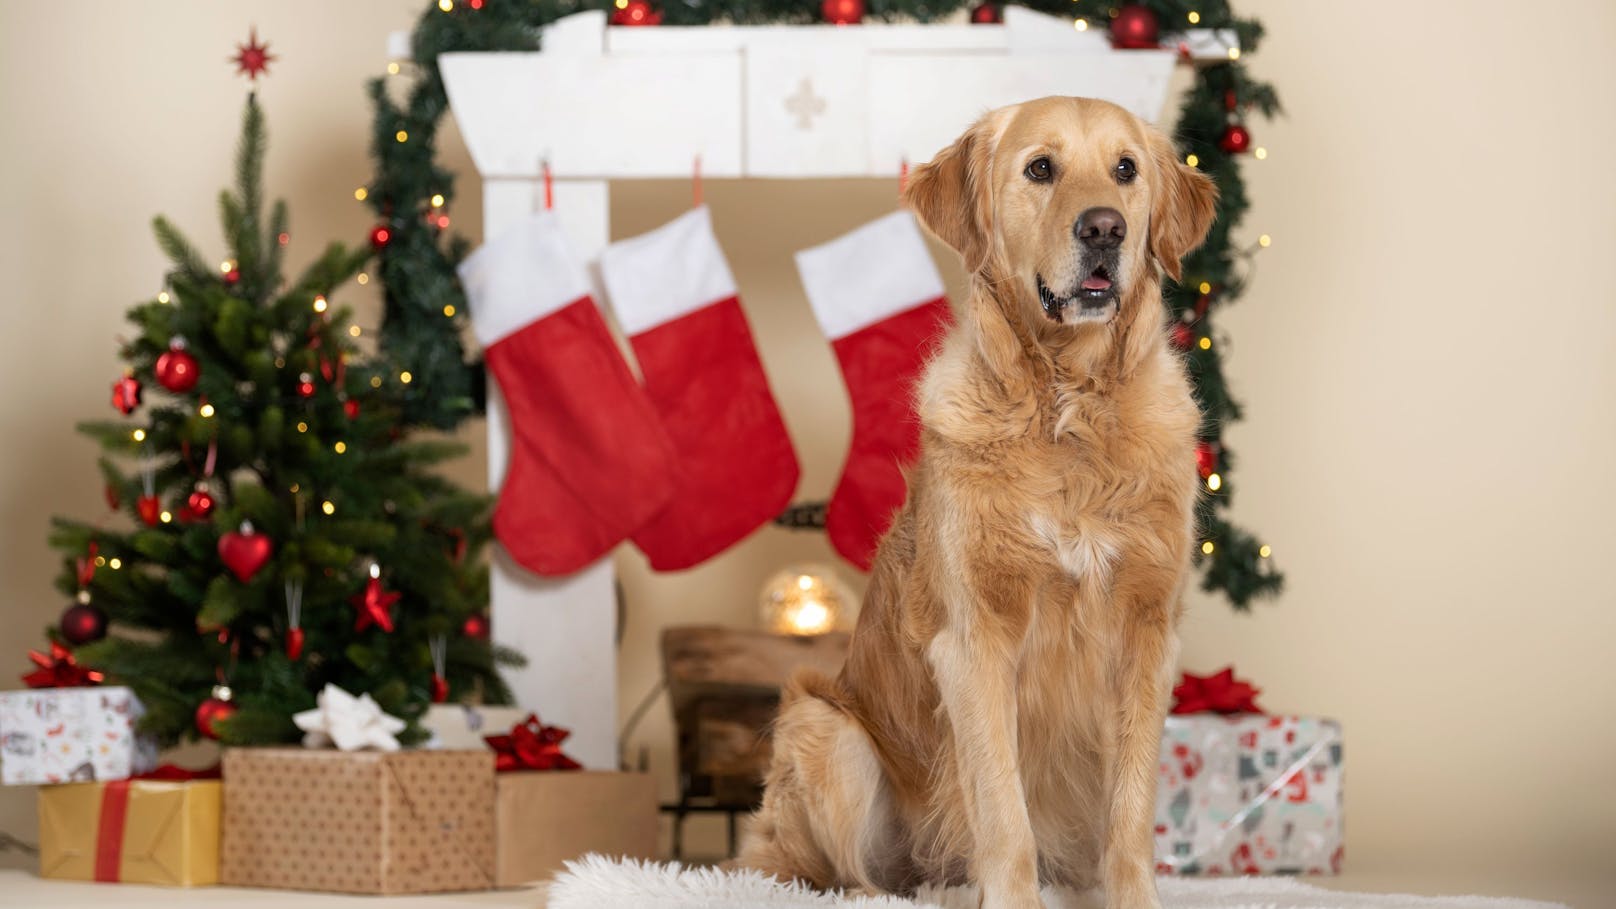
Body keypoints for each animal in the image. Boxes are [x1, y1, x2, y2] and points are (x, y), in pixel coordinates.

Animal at [733, 95, 1215, 899]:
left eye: (1126, 170)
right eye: (1040, 168)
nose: (1105, 228)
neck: (1067, 408)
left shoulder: (1148, 630)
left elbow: (1130, 813)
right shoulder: (975, 638)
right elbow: (1004, 811)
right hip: (826, 730)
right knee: (843, 876)